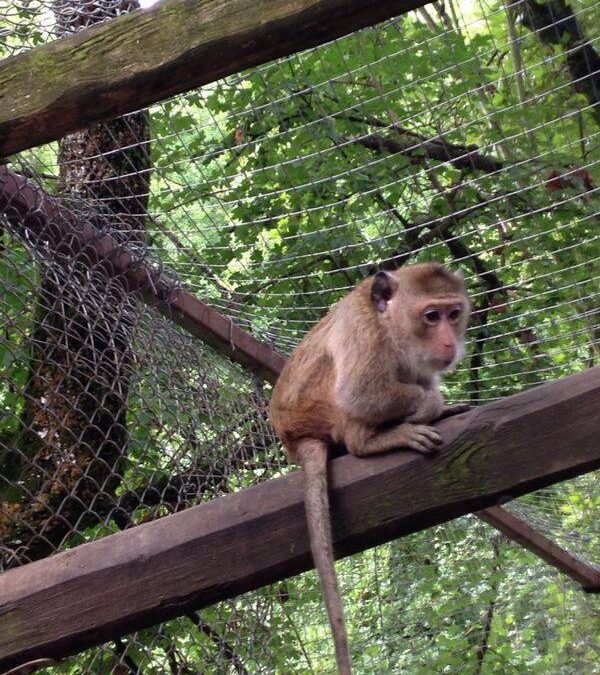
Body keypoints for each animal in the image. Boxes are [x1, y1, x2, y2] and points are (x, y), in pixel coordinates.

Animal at [270, 262, 472, 672]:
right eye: (432, 316)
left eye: (454, 313)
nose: (449, 342)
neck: (389, 324)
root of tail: (293, 436)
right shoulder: (365, 332)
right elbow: (362, 393)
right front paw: (432, 401)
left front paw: (441, 405)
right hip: (321, 410)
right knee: (353, 405)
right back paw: (372, 440)